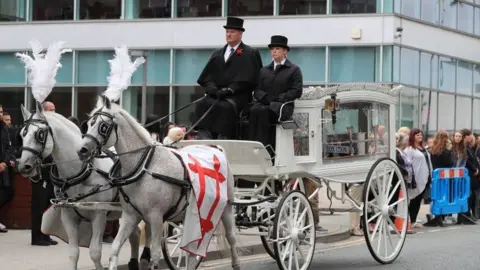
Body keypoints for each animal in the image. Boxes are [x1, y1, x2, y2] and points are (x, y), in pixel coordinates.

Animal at [16, 102, 148, 268]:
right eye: (22, 134)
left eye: (40, 133)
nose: (24, 167)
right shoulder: (68, 215)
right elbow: (73, 253)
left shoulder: (99, 215)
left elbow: (95, 252)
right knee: (135, 233)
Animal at [77, 94, 242, 268]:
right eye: (89, 124)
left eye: (103, 126)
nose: (82, 150)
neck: (145, 166)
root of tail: (215, 148)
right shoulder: (130, 216)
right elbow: (115, 248)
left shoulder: (156, 217)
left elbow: (155, 254)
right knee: (191, 250)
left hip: (226, 209)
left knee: (231, 237)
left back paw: (236, 263)